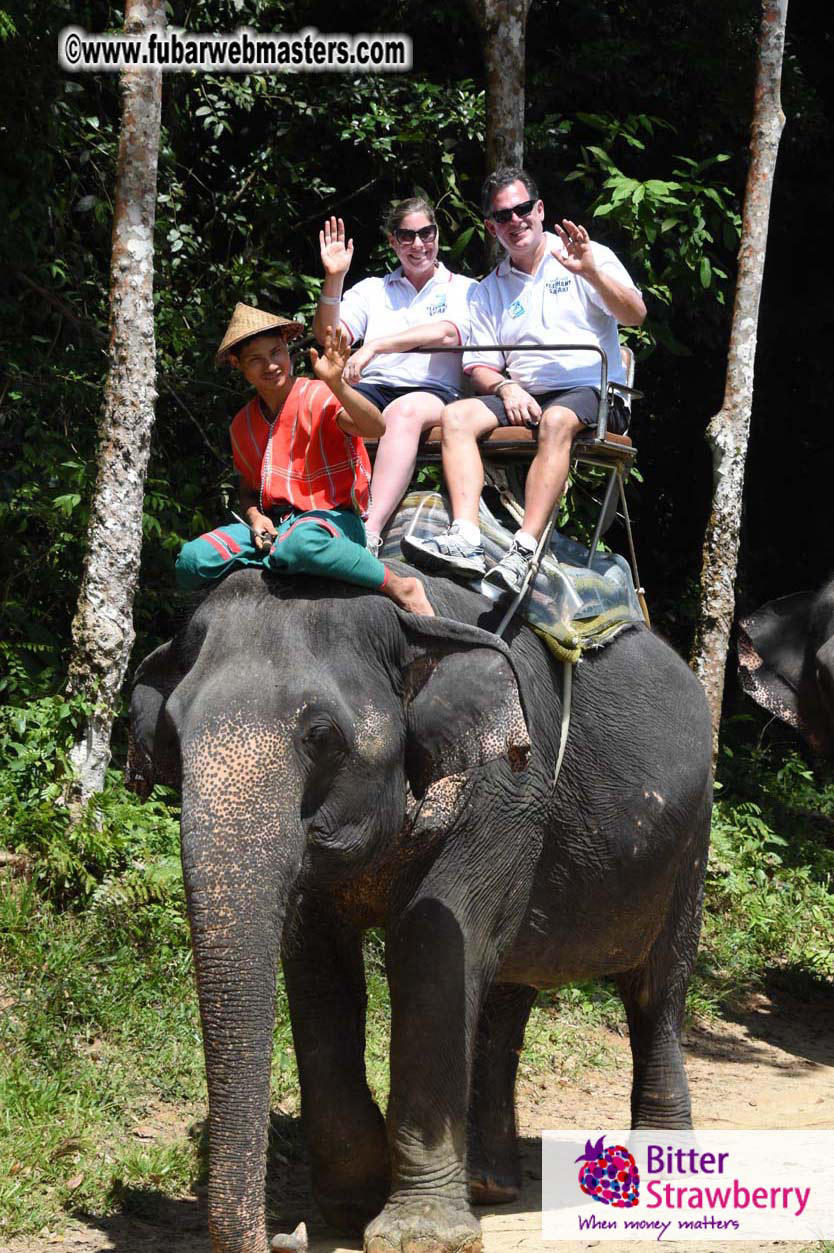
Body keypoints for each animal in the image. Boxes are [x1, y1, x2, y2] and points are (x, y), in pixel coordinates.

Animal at [127, 563, 713, 1253]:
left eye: (321, 737)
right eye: (174, 733)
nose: (285, 1236)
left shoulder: (511, 784)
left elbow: (432, 939)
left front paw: (420, 1231)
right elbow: (315, 961)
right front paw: (353, 1201)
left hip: (691, 841)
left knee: (656, 989)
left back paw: (659, 1169)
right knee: (507, 993)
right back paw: (488, 1184)